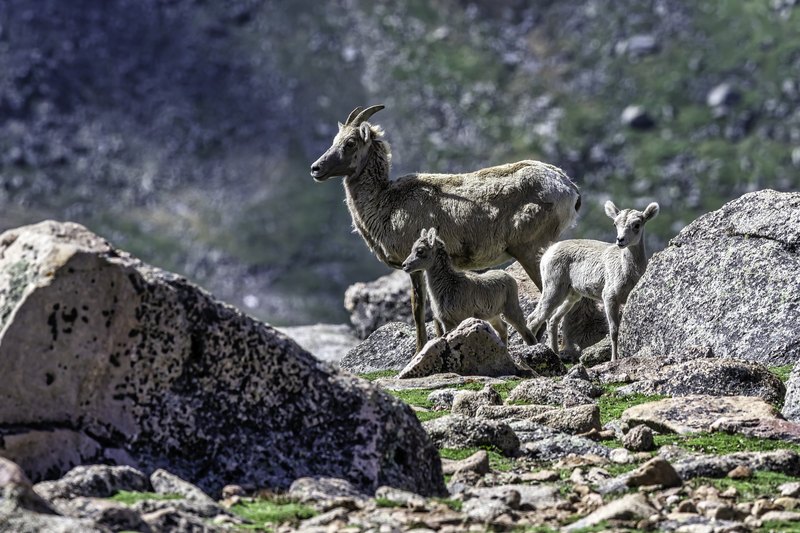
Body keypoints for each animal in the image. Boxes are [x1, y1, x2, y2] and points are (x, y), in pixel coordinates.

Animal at [401, 227, 537, 346]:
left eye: (420, 250)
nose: (404, 265)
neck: (449, 285)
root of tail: (509, 277)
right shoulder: (447, 322)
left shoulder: (461, 319)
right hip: (493, 316)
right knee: (503, 328)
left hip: (511, 309)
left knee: (525, 331)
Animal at [526, 201, 660, 361]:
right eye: (615, 224)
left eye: (637, 224)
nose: (620, 240)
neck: (627, 271)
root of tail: (547, 253)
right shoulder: (609, 298)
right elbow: (614, 330)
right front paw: (614, 359)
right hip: (553, 289)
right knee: (533, 319)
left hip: (571, 296)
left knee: (552, 320)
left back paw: (556, 355)